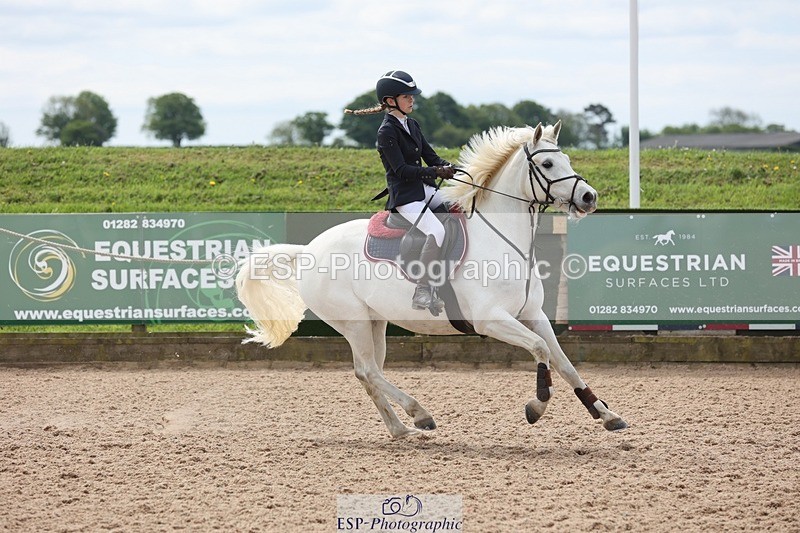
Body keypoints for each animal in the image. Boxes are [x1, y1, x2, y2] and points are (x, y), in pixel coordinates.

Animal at [236, 121, 628, 438]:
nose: (589, 197)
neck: (502, 238)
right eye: (547, 165)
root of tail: (308, 249)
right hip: (353, 322)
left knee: (369, 372)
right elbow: (541, 350)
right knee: (368, 370)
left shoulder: (533, 315)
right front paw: (537, 406)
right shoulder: (490, 320)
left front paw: (606, 414)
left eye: (567, 160)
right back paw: (419, 415)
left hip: (375, 322)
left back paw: (399, 428)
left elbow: (564, 362)